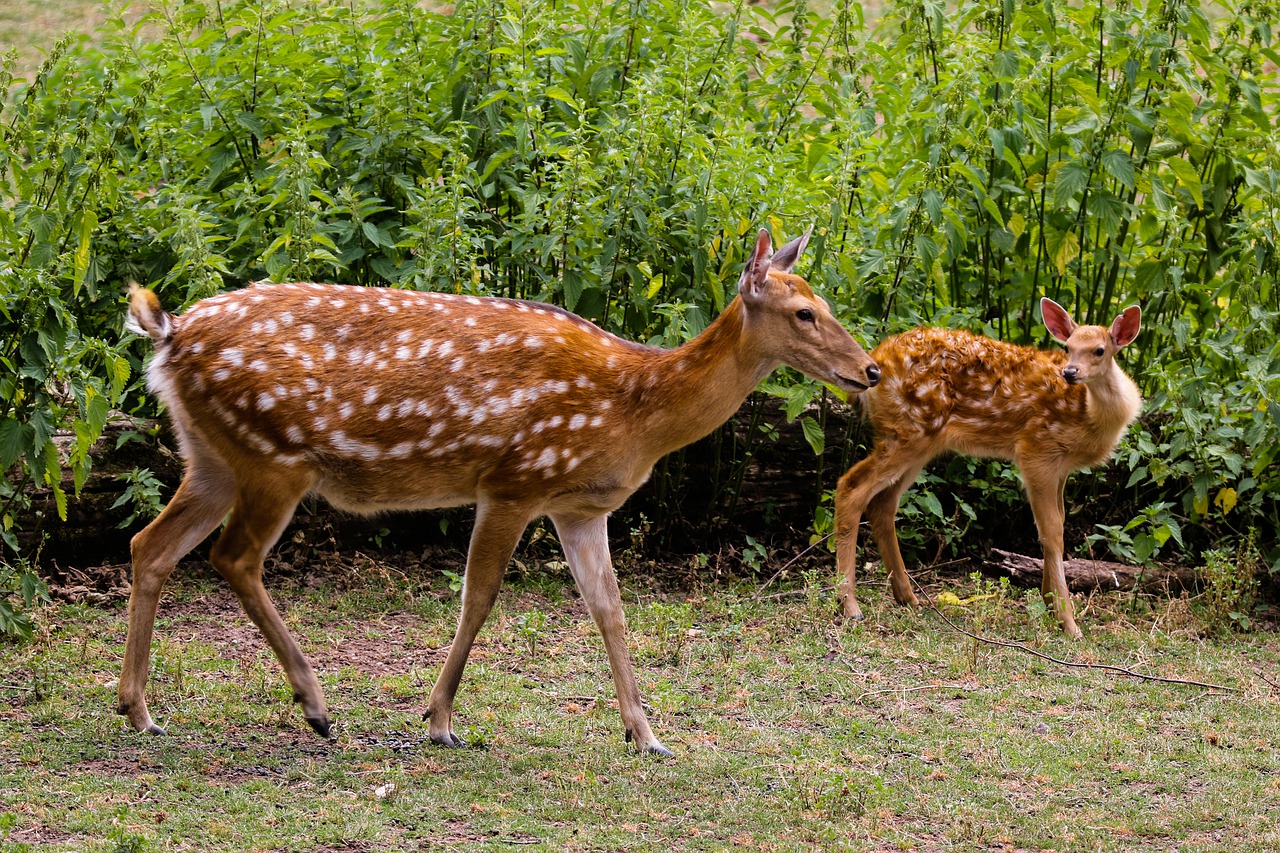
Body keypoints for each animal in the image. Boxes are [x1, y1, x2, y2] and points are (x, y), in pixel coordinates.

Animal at [120, 224, 880, 753]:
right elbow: (479, 596)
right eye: (805, 313)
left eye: (824, 301)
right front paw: (440, 720)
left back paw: (140, 709)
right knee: (232, 556)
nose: (870, 370)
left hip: (213, 457)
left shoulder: (580, 506)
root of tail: (169, 334)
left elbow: (609, 609)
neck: (635, 407)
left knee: (149, 545)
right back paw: (315, 705)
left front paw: (647, 734)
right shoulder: (514, 478)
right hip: (275, 456)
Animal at [834, 295, 1146, 635]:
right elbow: (1051, 533)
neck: (1090, 415)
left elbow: (1059, 523)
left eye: (1099, 350)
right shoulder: (1035, 450)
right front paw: (1067, 621)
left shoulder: (1061, 467)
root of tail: (876, 361)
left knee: (883, 504)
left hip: (920, 441)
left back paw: (907, 597)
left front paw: (1049, 603)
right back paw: (849, 605)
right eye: (1068, 347)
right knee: (851, 487)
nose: (1070, 372)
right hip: (908, 431)